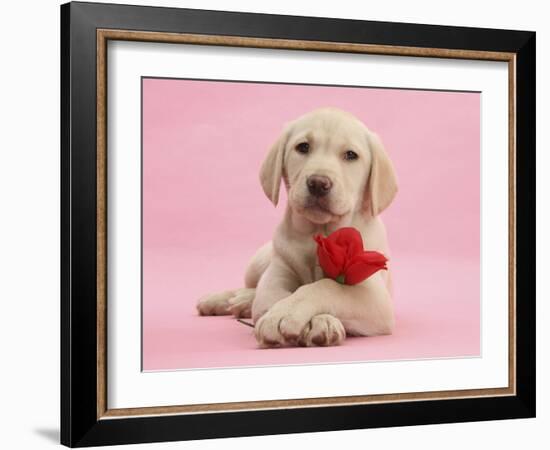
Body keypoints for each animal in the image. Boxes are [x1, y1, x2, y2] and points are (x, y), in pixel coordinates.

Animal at [196, 107, 398, 346]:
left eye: (351, 155)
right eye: (303, 147)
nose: (318, 183)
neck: (318, 233)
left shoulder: (374, 296)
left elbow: (326, 286)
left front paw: (316, 320)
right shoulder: (275, 279)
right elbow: (276, 298)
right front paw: (280, 314)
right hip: (258, 262)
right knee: (252, 287)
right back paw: (225, 299)